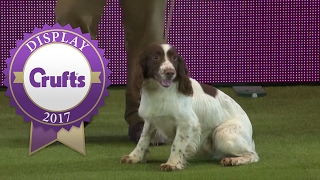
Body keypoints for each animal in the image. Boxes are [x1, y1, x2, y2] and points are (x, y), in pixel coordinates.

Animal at [120, 43, 260, 171]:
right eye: (155, 57)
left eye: (174, 58)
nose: (170, 72)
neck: (160, 91)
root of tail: (251, 137)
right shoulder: (151, 120)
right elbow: (143, 140)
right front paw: (134, 157)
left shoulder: (187, 123)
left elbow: (176, 145)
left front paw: (172, 164)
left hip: (221, 133)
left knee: (253, 155)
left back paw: (233, 160)